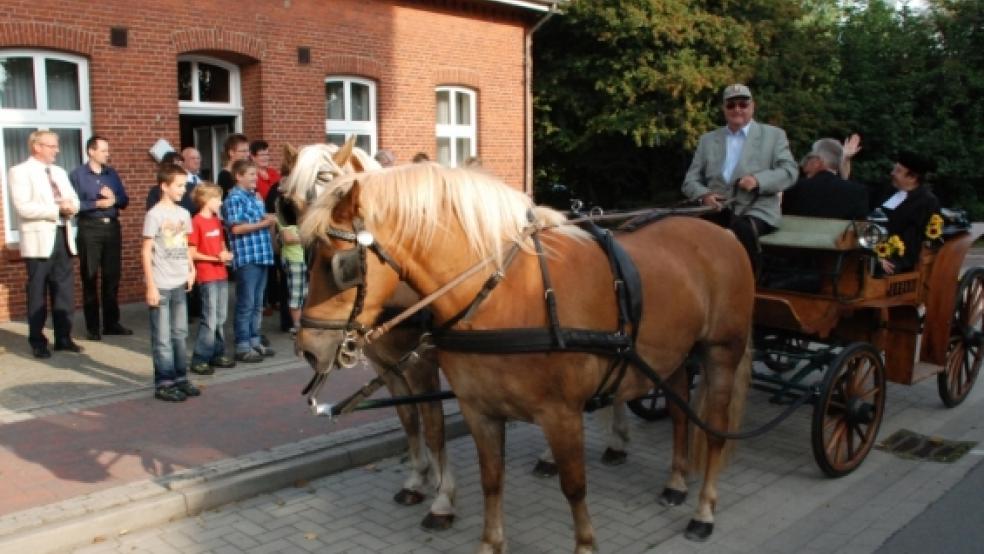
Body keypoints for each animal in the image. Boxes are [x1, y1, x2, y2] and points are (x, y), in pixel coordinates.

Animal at [296, 162, 748, 548]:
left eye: (339, 265)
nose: (307, 348)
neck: (508, 293)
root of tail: (721, 233)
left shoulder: (559, 412)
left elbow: (573, 485)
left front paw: (584, 543)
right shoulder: (475, 407)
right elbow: (489, 477)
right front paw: (487, 540)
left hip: (720, 353)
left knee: (713, 430)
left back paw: (703, 511)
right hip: (670, 355)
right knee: (678, 412)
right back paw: (675, 482)